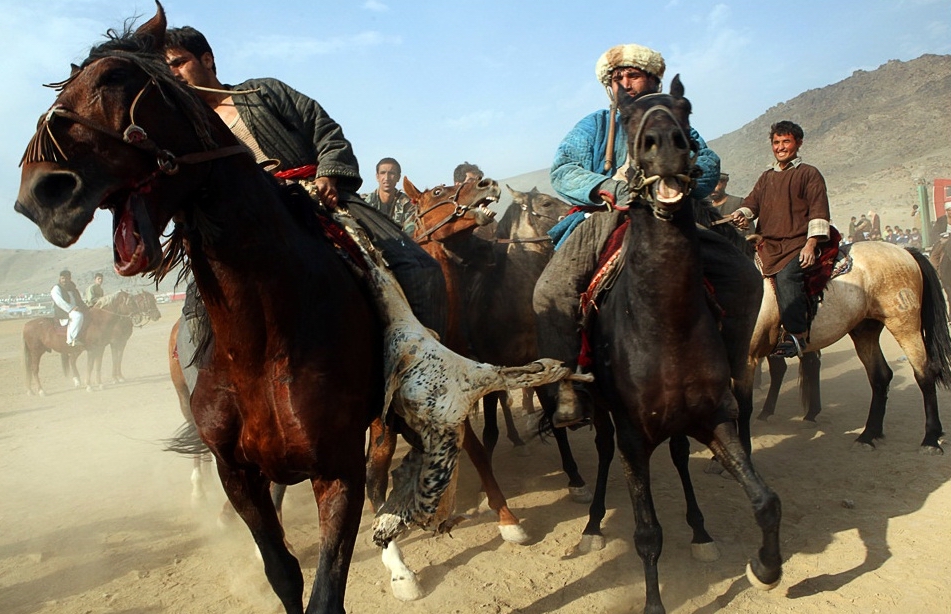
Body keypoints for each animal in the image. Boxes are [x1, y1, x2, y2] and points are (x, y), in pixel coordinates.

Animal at [23, 288, 161, 394]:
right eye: (130, 303)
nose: (157, 315)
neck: (98, 321)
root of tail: (27, 325)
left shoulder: (103, 347)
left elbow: (100, 364)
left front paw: (100, 383)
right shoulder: (102, 347)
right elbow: (93, 365)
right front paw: (91, 385)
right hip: (36, 352)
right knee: (34, 369)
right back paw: (41, 390)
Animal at [564, 78, 780, 614]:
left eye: (685, 109)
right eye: (626, 115)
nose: (666, 144)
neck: (665, 327)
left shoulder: (716, 417)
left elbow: (765, 501)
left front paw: (766, 568)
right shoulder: (634, 438)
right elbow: (647, 534)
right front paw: (653, 603)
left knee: (681, 455)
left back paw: (700, 532)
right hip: (605, 415)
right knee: (602, 450)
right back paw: (593, 525)